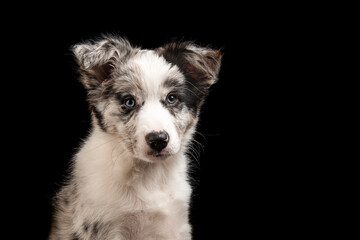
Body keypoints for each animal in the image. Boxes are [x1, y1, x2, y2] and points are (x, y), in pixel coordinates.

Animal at [48, 35, 221, 240]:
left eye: (172, 98)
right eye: (129, 102)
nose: (158, 140)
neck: (149, 176)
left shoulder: (175, 224)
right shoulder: (105, 228)